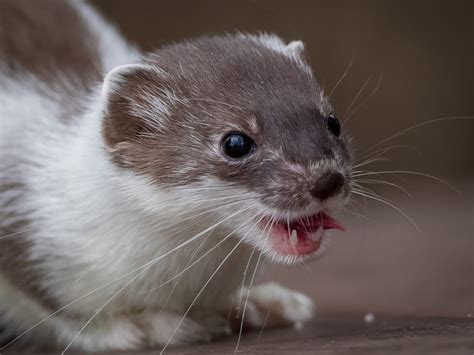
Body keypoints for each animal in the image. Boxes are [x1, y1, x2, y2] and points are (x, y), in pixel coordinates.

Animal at [0, 0, 352, 352]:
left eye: (332, 122)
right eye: (235, 142)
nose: (327, 179)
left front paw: (258, 302)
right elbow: (58, 312)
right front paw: (145, 325)